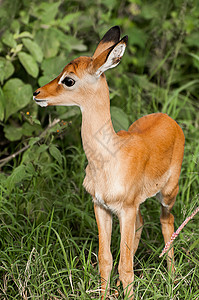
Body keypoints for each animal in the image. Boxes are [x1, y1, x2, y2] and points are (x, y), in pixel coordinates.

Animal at [33, 27, 184, 298]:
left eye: (69, 79)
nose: (37, 93)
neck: (108, 159)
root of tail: (168, 118)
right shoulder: (101, 206)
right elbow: (106, 260)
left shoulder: (125, 209)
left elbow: (125, 268)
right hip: (137, 207)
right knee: (142, 225)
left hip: (168, 194)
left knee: (167, 222)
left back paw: (172, 277)